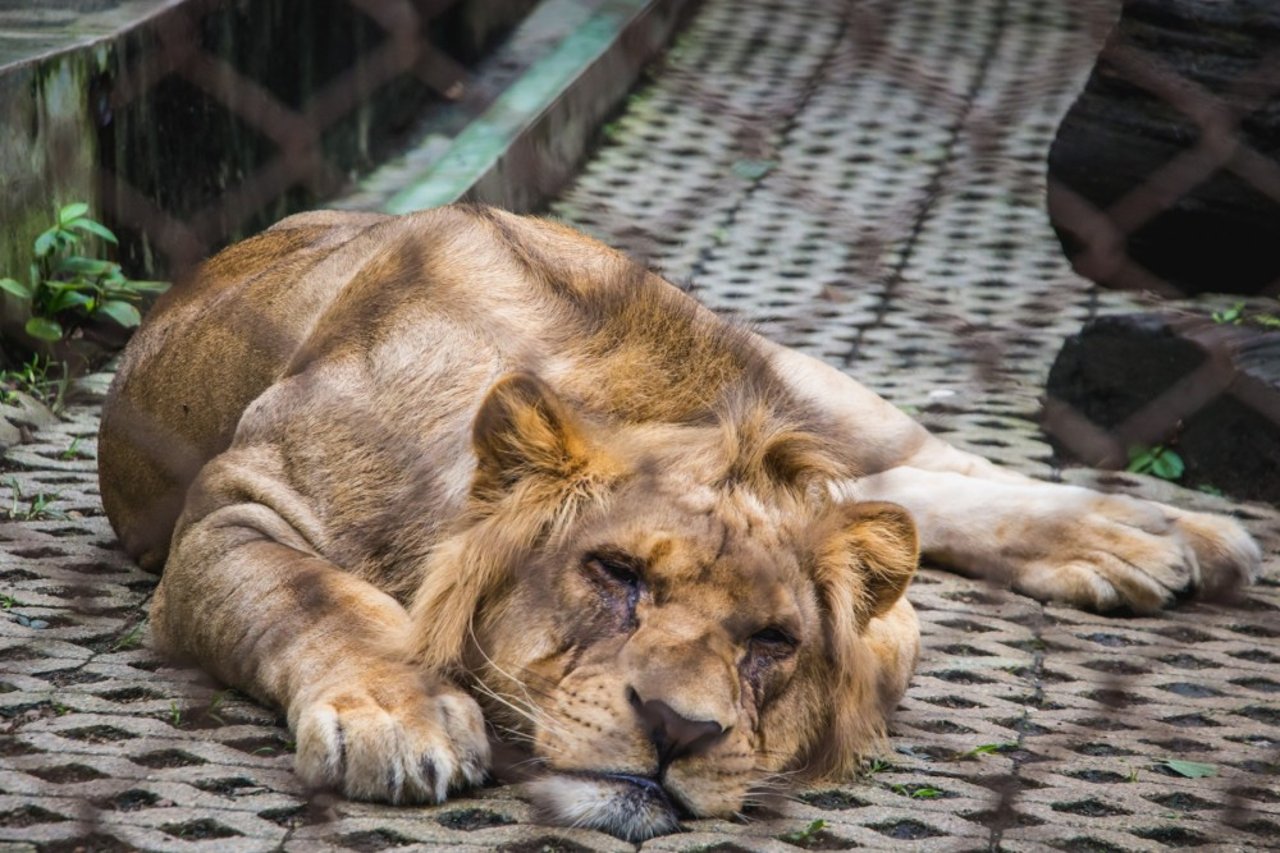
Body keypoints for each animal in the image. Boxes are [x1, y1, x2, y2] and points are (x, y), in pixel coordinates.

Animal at [99, 206, 1259, 835]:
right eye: (614, 575)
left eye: (773, 640)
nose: (677, 731)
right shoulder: (238, 507)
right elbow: (317, 599)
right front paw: (402, 713)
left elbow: (882, 626)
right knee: (905, 491)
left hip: (799, 375)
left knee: (924, 466)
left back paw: (1155, 534)